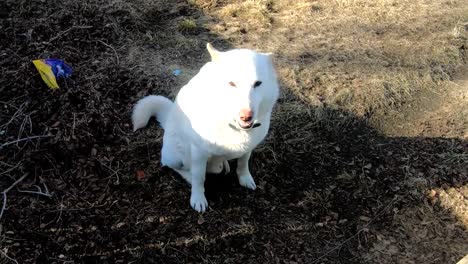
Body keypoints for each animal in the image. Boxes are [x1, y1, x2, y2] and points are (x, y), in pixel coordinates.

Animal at [131, 43, 278, 212]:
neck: (232, 125)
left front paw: (245, 177)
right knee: (177, 167)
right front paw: (198, 198)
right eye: (232, 83)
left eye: (258, 84)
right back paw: (190, 175)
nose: (246, 116)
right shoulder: (198, 153)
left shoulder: (249, 147)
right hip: (174, 156)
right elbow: (199, 178)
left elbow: (243, 162)